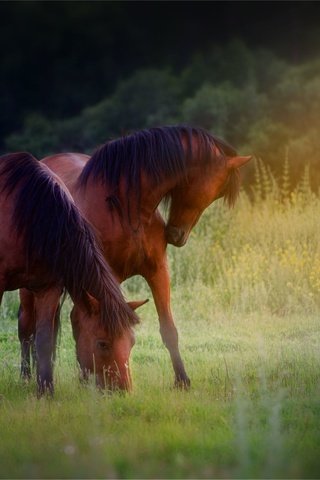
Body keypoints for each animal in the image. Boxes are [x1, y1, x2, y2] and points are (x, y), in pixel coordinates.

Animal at [0, 153, 138, 394]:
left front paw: (46, 390)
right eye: (102, 343)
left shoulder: (49, 288)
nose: (123, 390)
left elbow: (45, 341)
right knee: (24, 326)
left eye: (132, 341)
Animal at [18, 125, 251, 388]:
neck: (127, 209)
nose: (177, 235)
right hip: (31, 287)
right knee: (26, 325)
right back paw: (27, 376)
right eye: (215, 190)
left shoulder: (157, 270)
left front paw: (182, 381)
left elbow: (168, 329)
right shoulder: (108, 278)